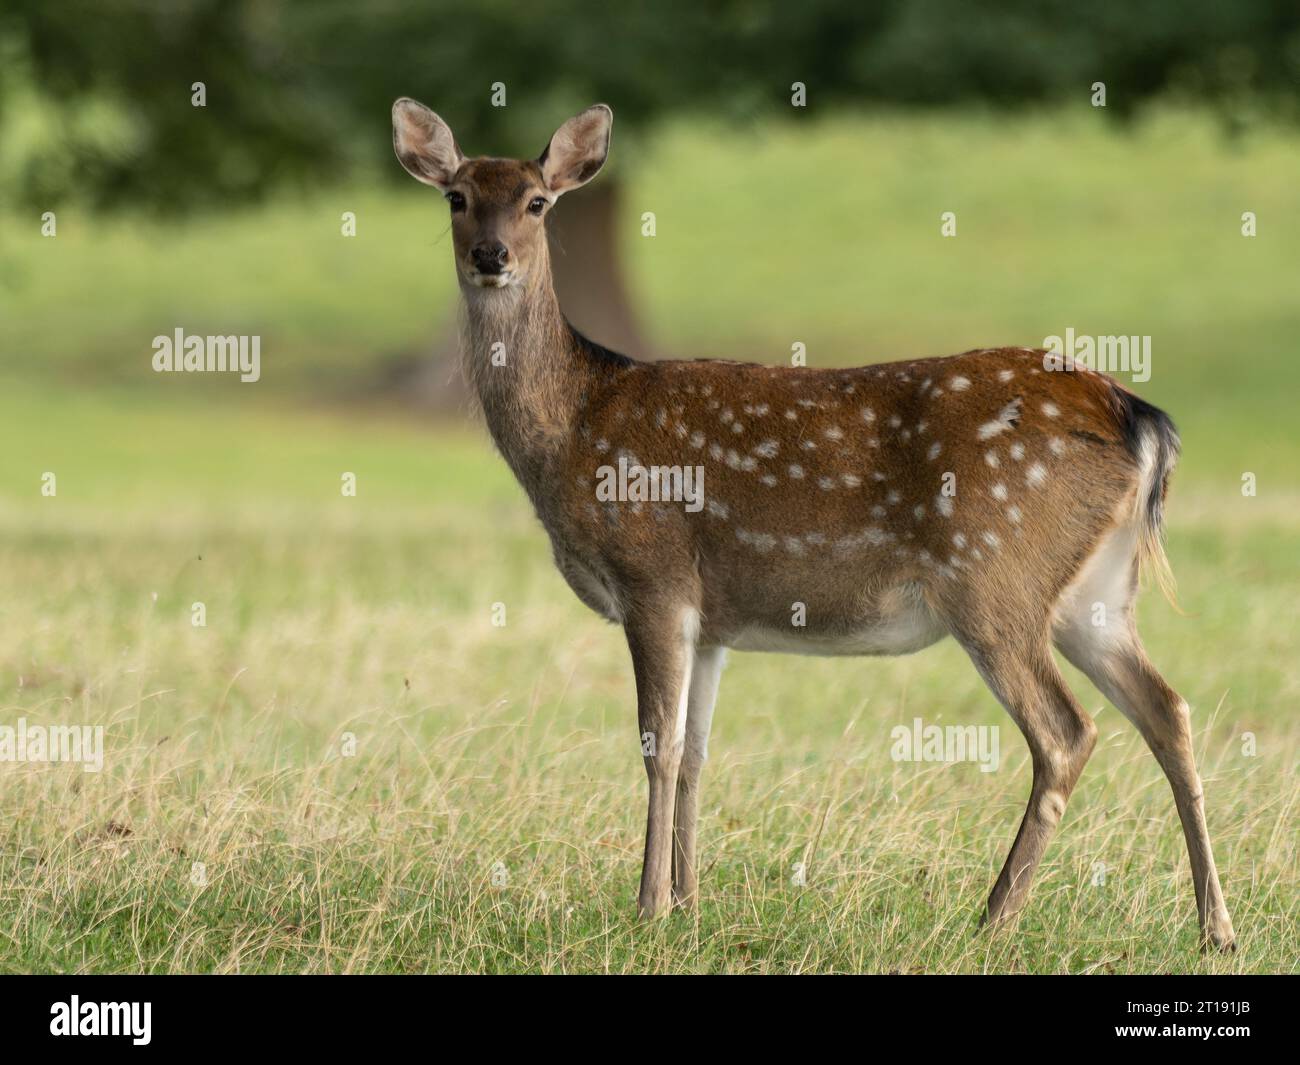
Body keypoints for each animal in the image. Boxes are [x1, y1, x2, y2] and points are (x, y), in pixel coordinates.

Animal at [392, 98, 1237, 951]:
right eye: (457, 197)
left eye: (537, 202)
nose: (492, 254)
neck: (572, 430)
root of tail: (1140, 418)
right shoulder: (712, 618)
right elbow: (696, 753)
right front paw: (690, 904)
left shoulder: (653, 574)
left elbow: (658, 745)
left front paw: (648, 905)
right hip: (1094, 594)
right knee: (1168, 709)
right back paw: (1215, 926)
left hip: (993, 573)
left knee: (1067, 732)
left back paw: (994, 915)